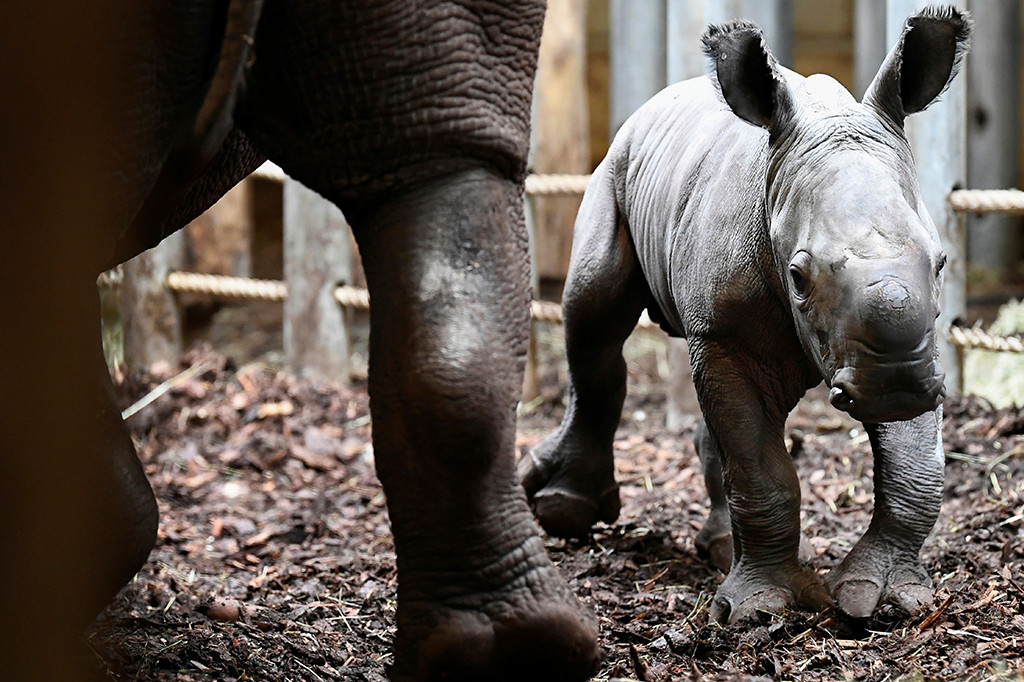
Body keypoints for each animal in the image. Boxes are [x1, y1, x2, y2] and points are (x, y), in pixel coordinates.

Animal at [524, 6, 970, 622]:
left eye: (942, 261)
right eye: (798, 277)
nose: (895, 386)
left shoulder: (912, 339)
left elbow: (914, 467)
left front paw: (878, 597)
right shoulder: (726, 333)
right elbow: (762, 471)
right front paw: (760, 609)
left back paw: (717, 550)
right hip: (613, 170)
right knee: (593, 321)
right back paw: (564, 512)